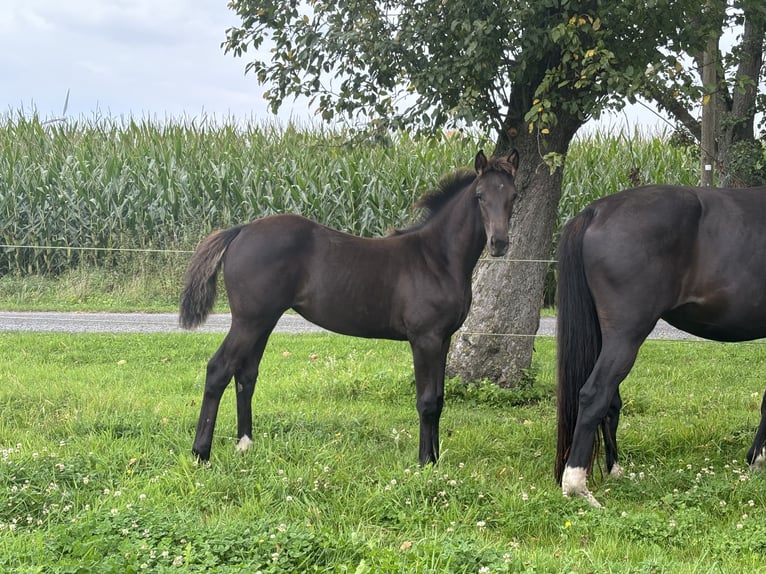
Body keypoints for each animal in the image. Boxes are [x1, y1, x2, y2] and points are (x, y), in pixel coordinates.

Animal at [180, 152, 520, 468]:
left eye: (514, 196)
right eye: (480, 196)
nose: (499, 243)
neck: (436, 258)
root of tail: (241, 230)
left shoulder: (444, 339)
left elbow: (438, 399)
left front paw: (435, 460)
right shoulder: (425, 339)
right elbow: (426, 402)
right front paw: (424, 462)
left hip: (264, 321)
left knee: (246, 373)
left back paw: (245, 445)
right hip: (249, 321)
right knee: (219, 369)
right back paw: (200, 454)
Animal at [556, 184, 766, 508]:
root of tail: (597, 210)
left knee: (611, 401)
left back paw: (615, 471)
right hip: (627, 335)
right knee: (594, 395)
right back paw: (577, 487)